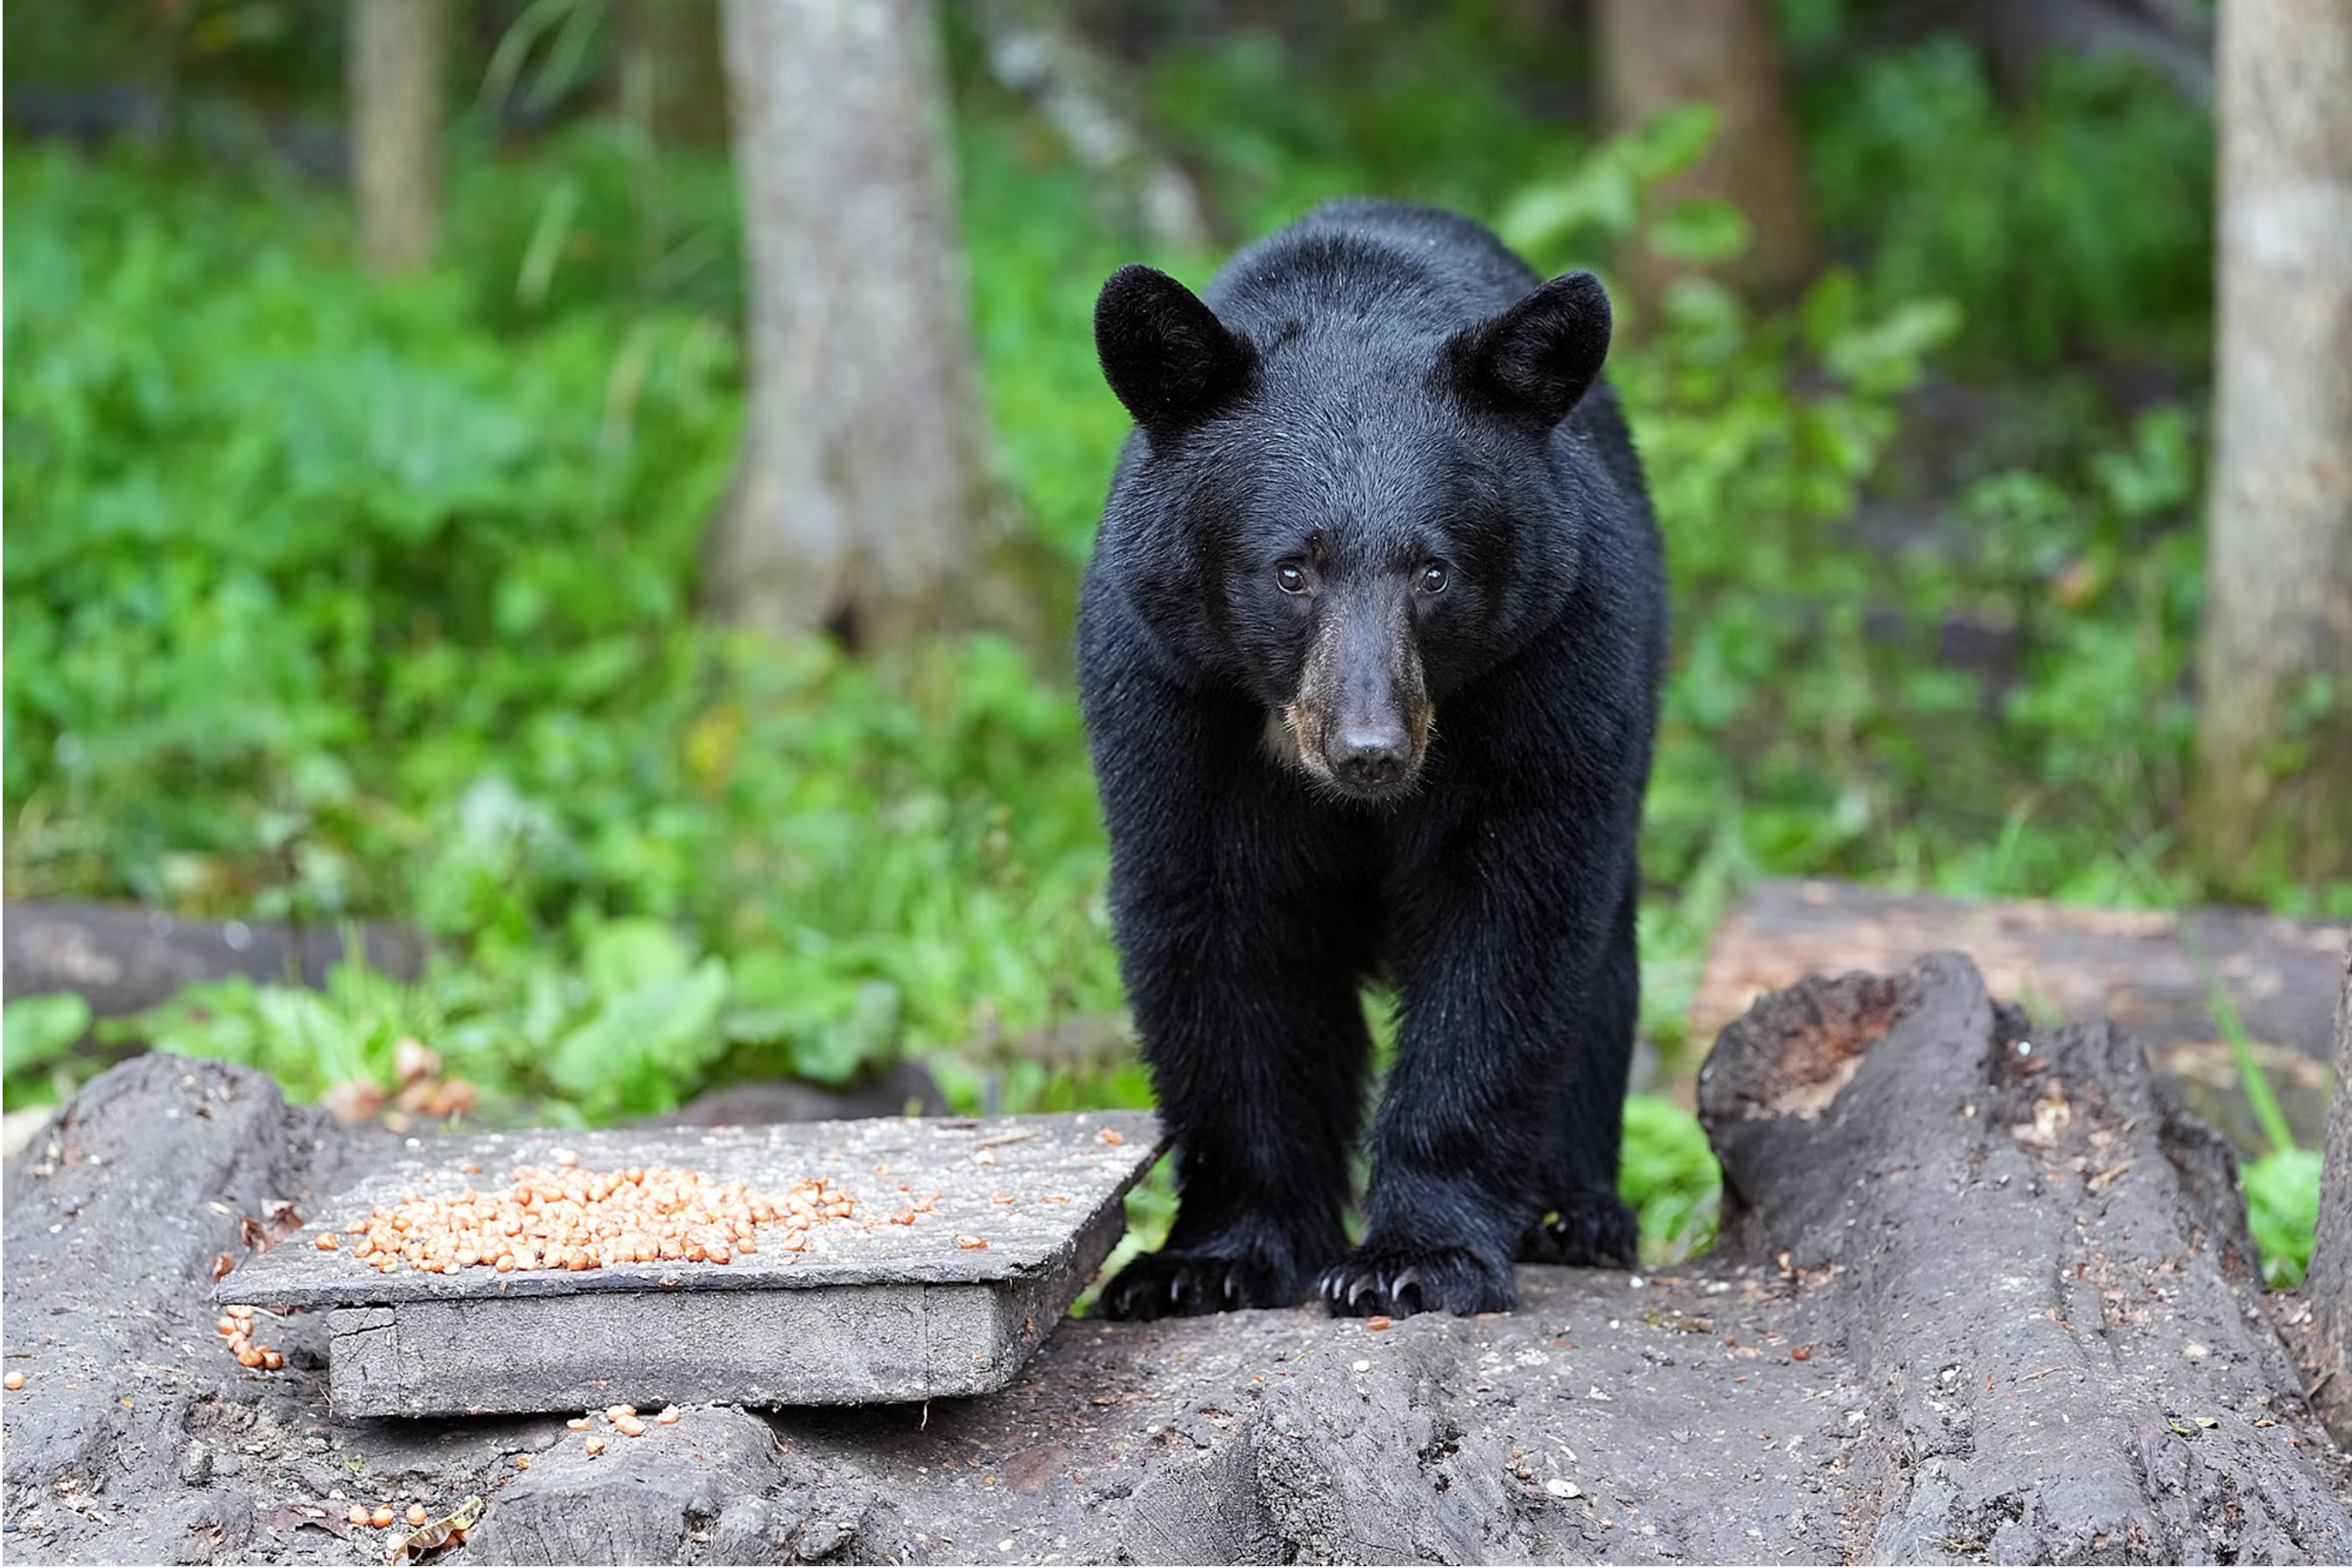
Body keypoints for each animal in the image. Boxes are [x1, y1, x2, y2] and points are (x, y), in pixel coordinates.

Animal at [1075, 198, 1667, 1320]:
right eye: (1291, 570)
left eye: (1433, 571)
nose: (1369, 751)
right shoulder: (1171, 693)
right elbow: (1221, 931)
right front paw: (1207, 1260)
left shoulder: (1556, 666)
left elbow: (1508, 930)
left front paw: (1415, 1256)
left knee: (1603, 955)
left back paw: (1576, 1214)